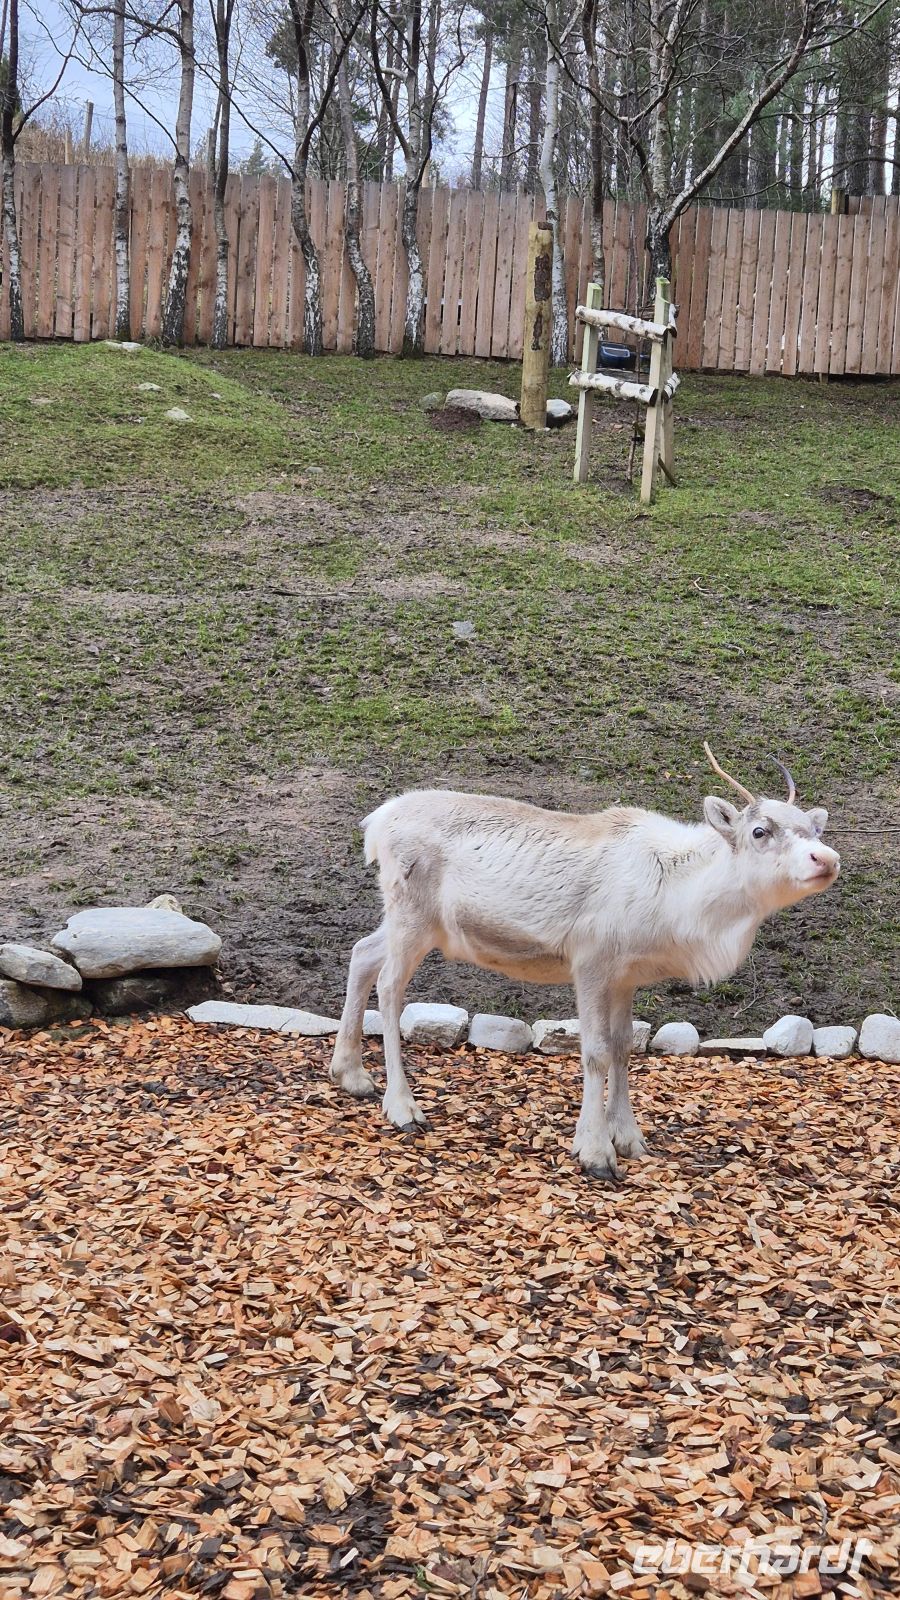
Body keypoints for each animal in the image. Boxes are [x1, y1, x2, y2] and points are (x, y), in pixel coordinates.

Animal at [328, 745, 839, 1178]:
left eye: (815, 829)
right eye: (759, 831)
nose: (827, 858)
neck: (681, 900)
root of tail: (376, 823)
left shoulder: (627, 976)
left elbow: (624, 1048)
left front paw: (629, 1139)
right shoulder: (591, 962)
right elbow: (594, 1051)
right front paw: (595, 1152)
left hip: (414, 923)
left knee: (361, 952)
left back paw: (351, 1076)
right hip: (412, 915)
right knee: (390, 986)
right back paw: (402, 1107)